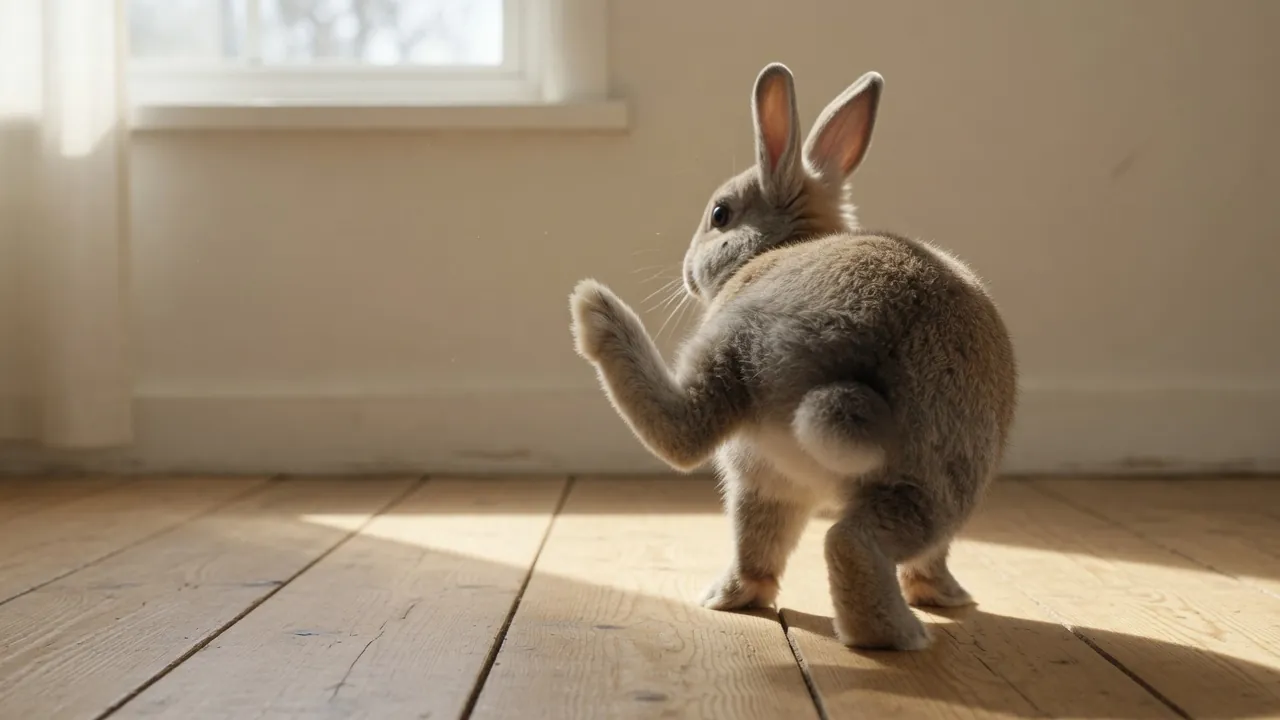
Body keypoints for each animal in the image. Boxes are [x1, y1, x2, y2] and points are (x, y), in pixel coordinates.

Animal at [568, 62, 1017, 651]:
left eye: (720, 215)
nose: (688, 271)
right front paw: (948, 596)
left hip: (745, 384)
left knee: (696, 444)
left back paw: (595, 310)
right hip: (926, 475)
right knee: (865, 540)